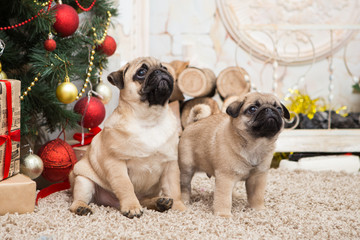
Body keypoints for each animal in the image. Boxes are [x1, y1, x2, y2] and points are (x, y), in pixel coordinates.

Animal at [68, 57, 186, 218]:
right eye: (141, 72)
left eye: (164, 68)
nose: (159, 71)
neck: (150, 118)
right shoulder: (116, 163)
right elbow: (125, 186)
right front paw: (131, 207)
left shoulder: (170, 164)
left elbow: (174, 189)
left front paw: (179, 208)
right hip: (83, 180)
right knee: (77, 199)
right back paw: (81, 207)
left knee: (145, 200)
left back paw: (160, 202)